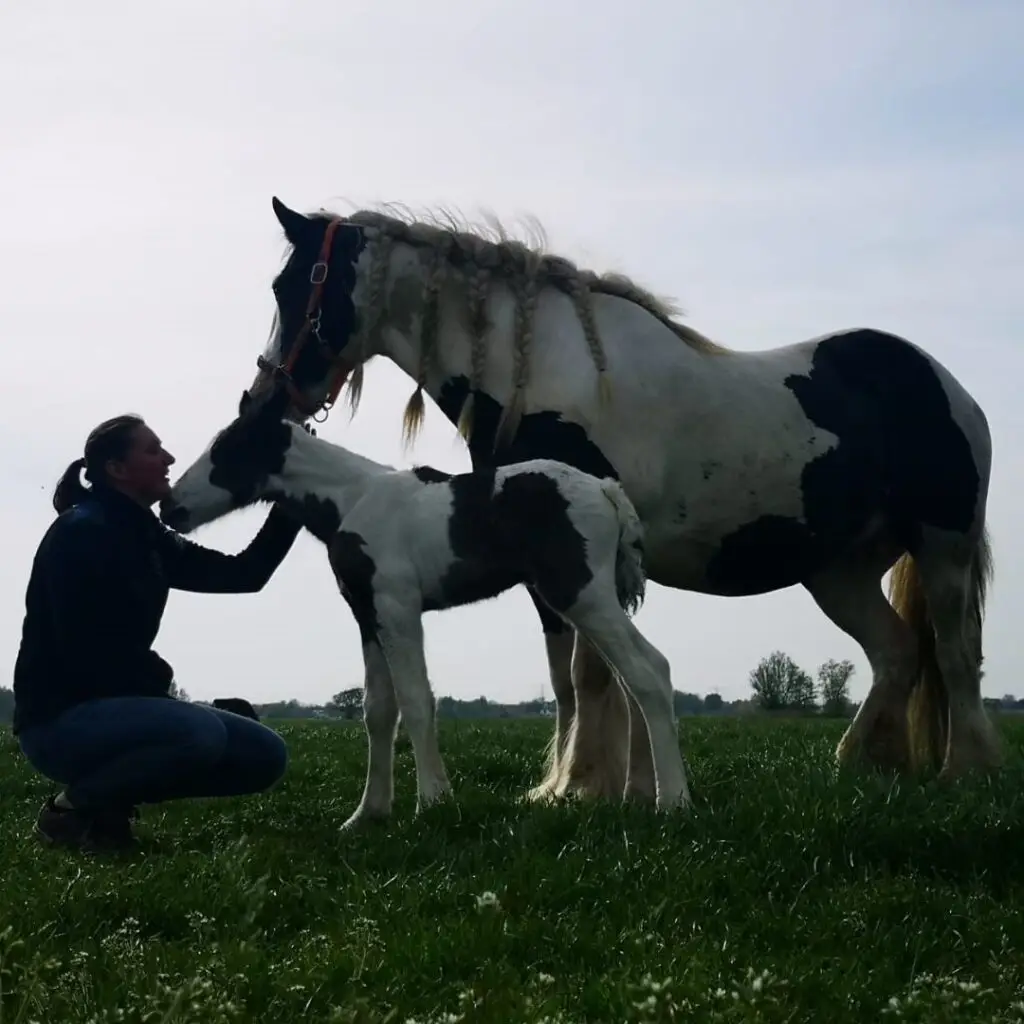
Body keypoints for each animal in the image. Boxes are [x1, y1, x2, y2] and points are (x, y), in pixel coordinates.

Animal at [159, 384, 692, 826]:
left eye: (227, 450)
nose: (170, 507)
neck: (354, 501)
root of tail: (605, 489)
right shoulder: (368, 616)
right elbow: (377, 712)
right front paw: (367, 814)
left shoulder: (397, 608)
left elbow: (416, 701)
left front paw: (432, 802)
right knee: (636, 677)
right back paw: (643, 794)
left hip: (581, 595)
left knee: (649, 670)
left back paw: (673, 801)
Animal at [239, 195, 998, 799]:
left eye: (288, 284)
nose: (264, 397)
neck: (547, 371)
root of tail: (947, 384)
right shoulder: (551, 566)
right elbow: (575, 679)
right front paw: (616, 785)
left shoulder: (572, 560)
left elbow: (593, 675)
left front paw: (581, 785)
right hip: (837, 572)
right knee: (897, 652)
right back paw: (862, 766)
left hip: (943, 545)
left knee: (955, 653)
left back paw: (963, 771)